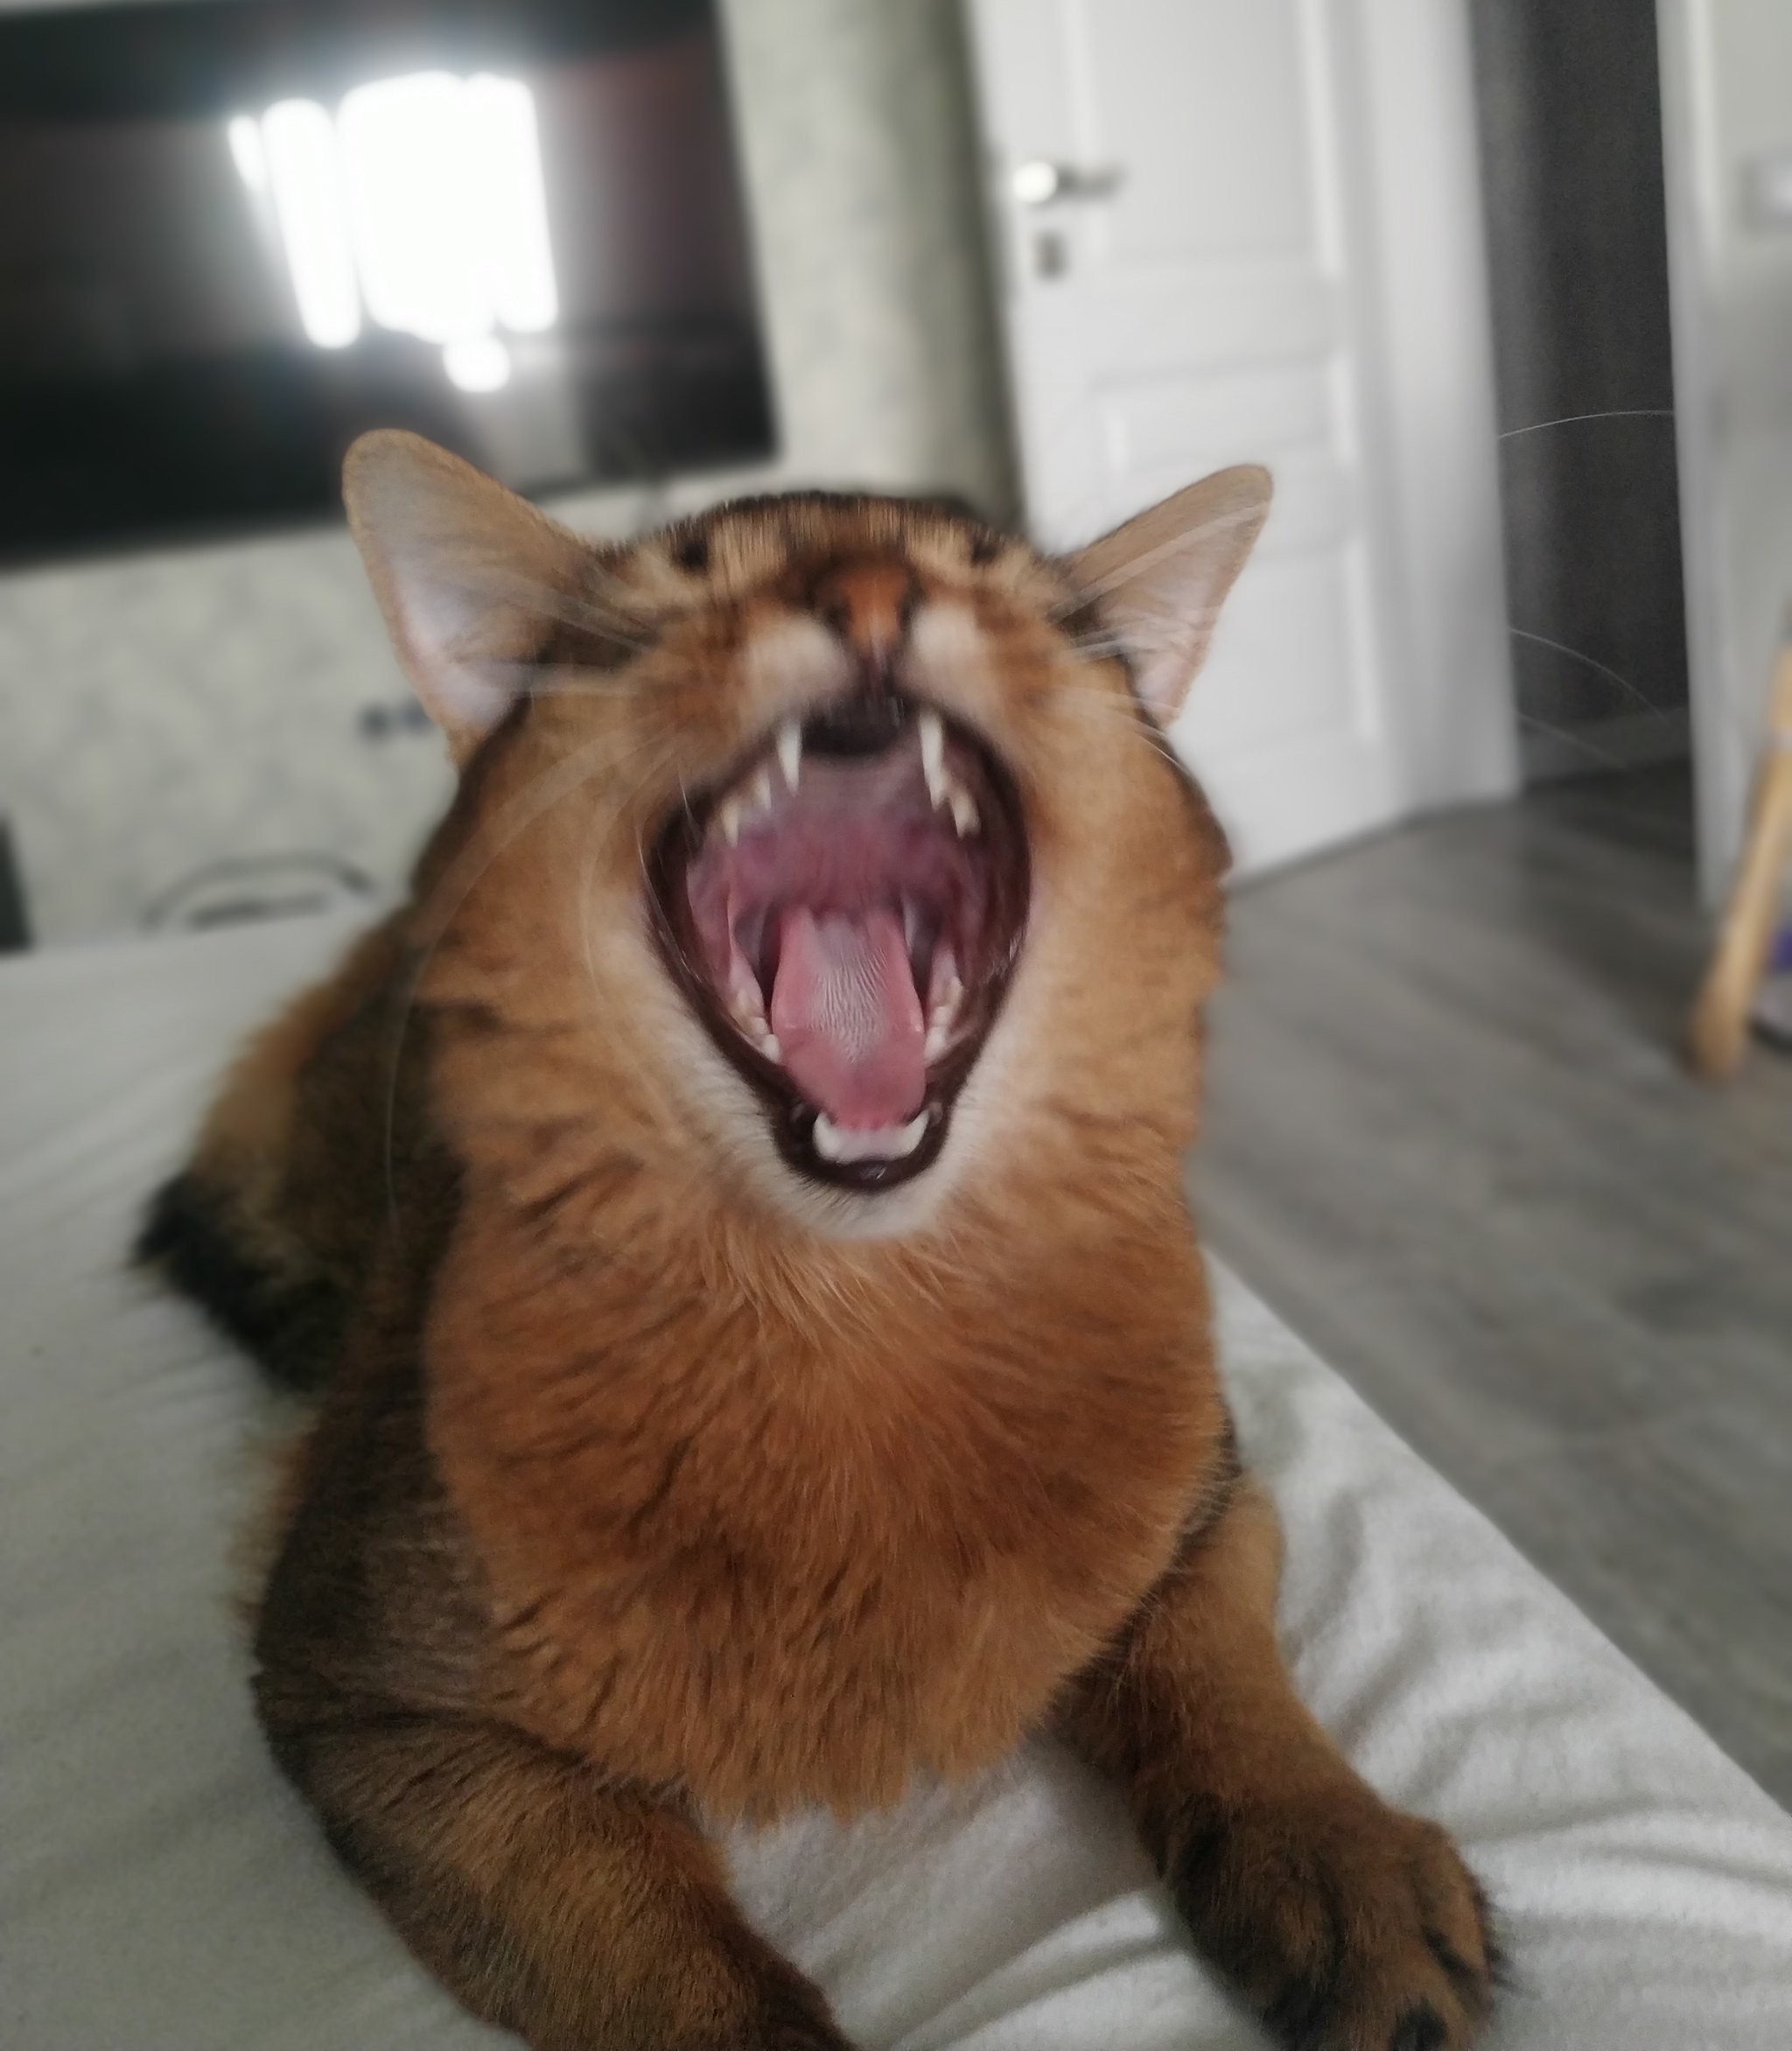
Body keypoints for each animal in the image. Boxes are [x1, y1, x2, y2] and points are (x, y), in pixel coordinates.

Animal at [139, 432, 1492, 2051]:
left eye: (997, 579)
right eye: (682, 587)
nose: (870, 592)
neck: (851, 1301)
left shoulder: (1207, 1504)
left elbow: (1228, 1676)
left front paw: (1332, 1848)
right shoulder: (371, 1702)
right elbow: (674, 1969)